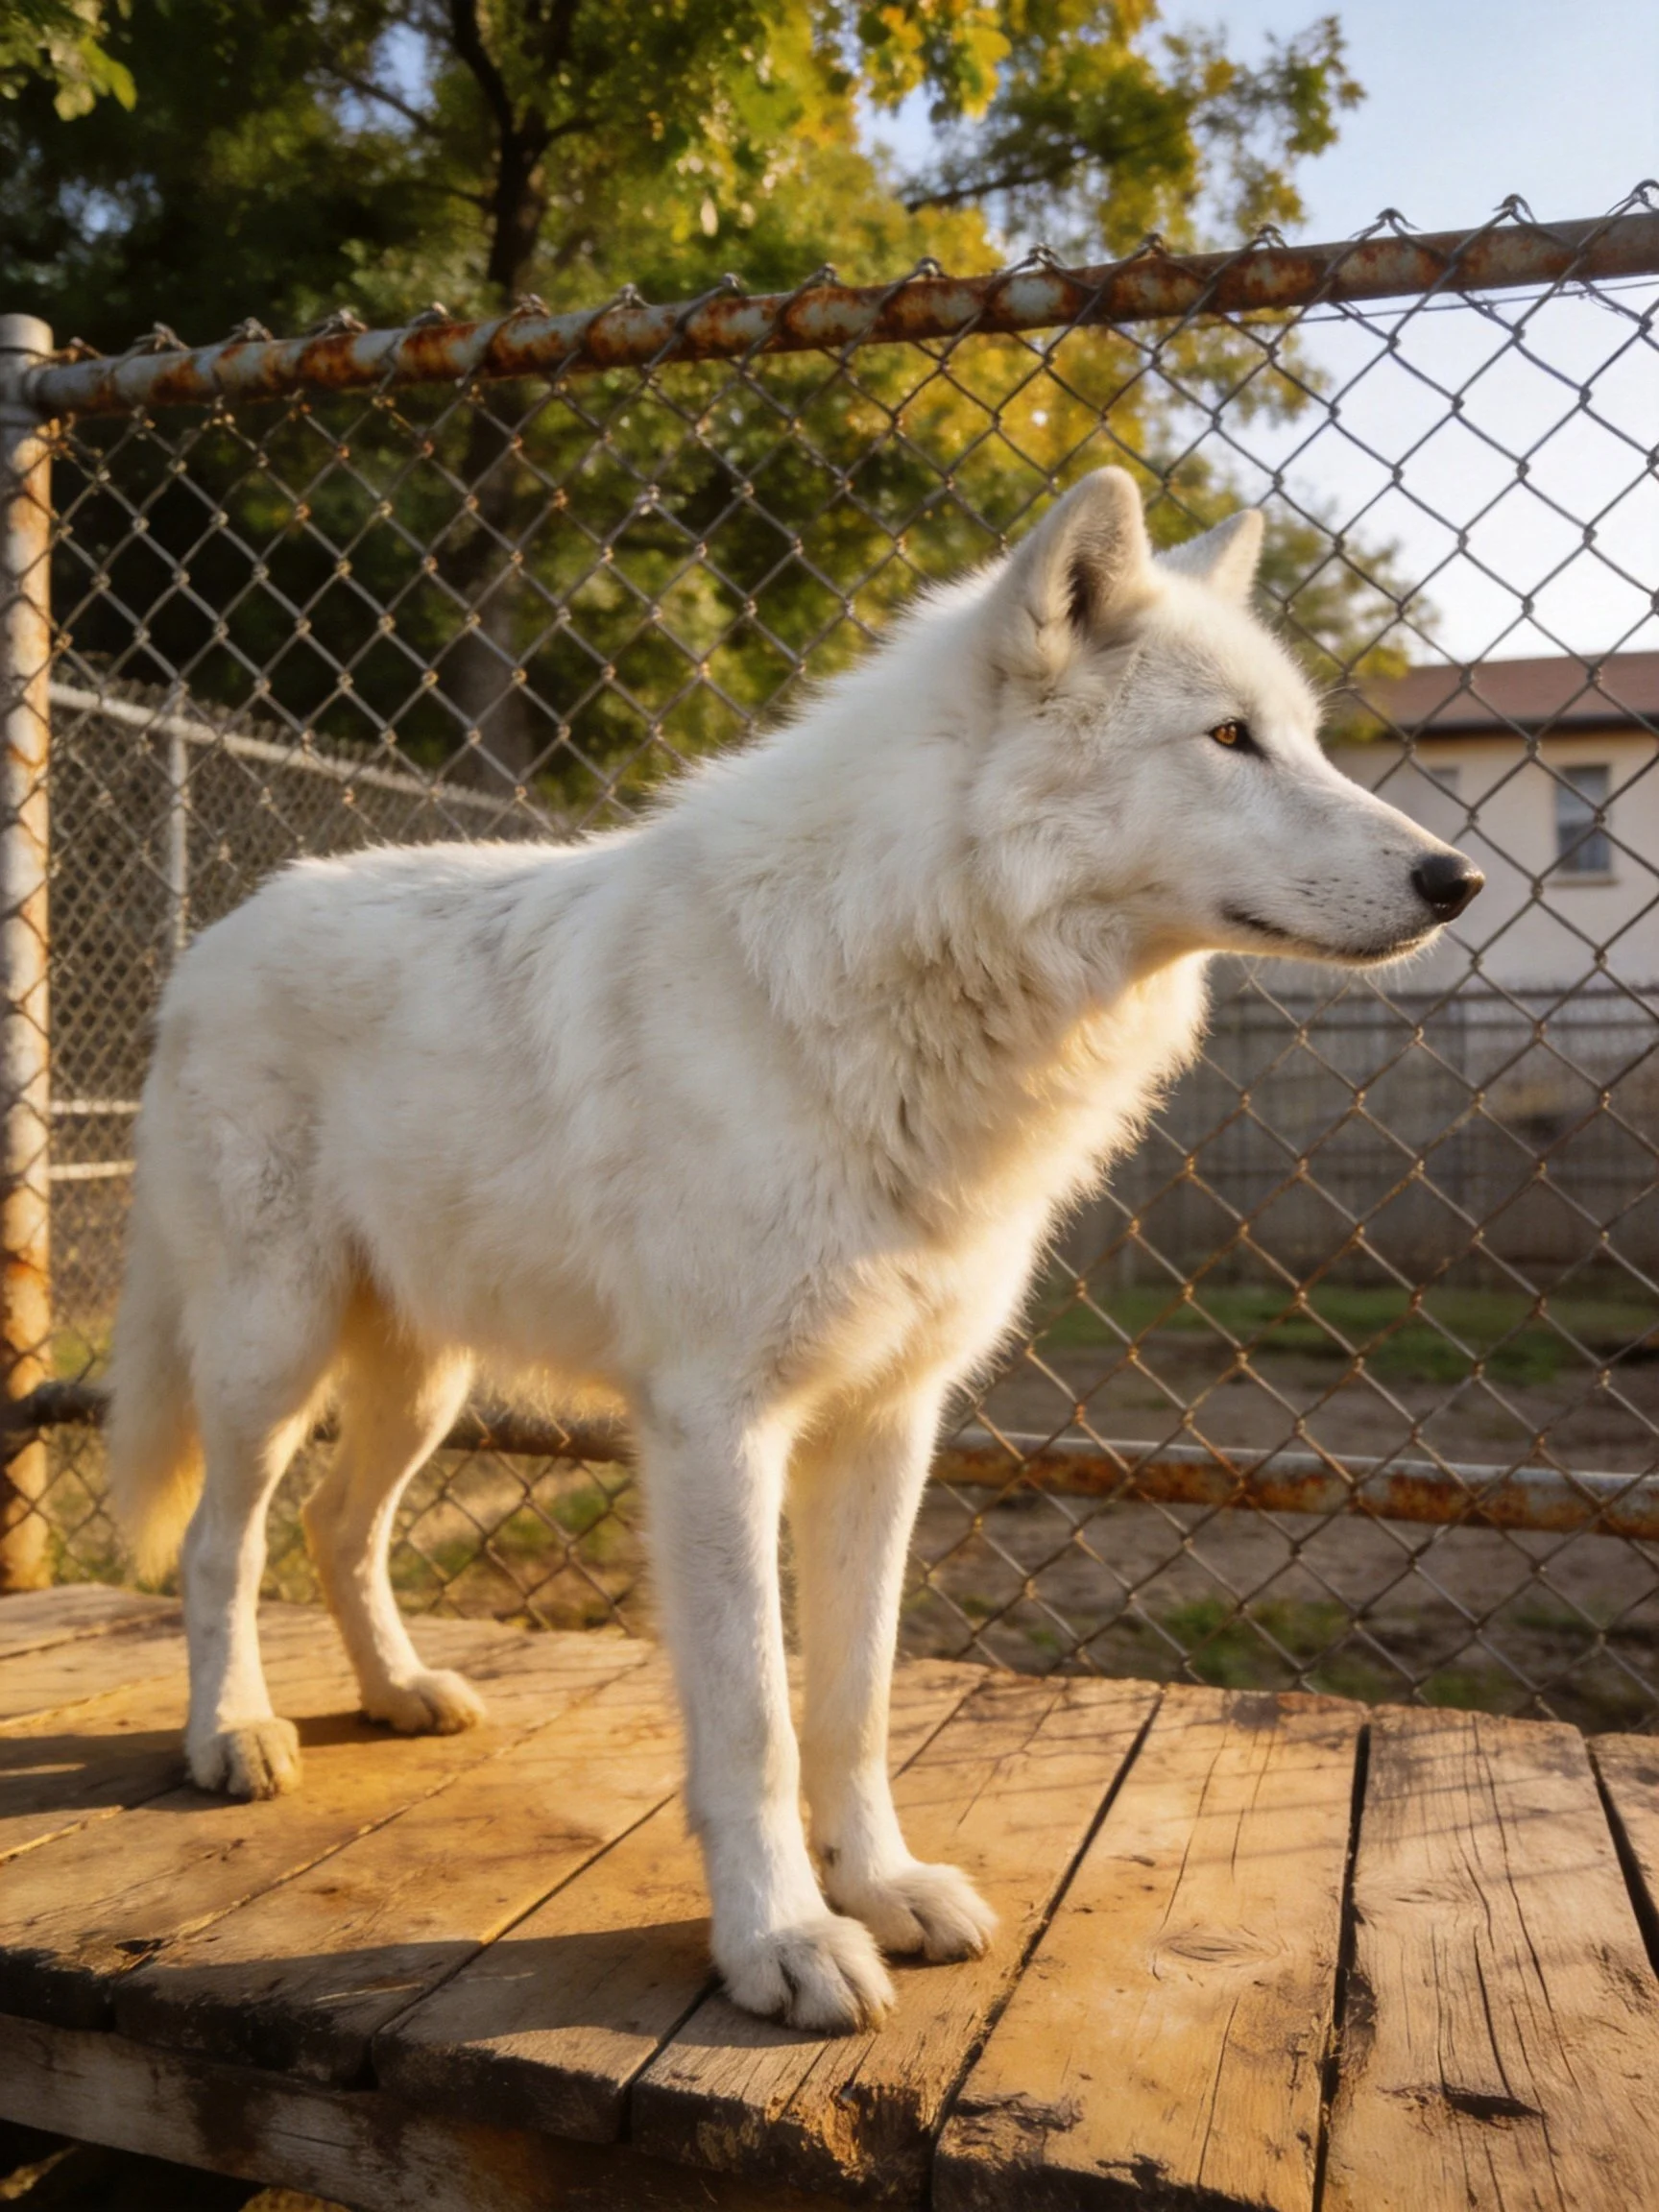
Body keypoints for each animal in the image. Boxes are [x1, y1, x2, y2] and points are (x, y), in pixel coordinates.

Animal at [106, 468, 1480, 2033]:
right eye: (1231, 739)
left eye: (1300, 737)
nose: (1457, 878)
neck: (899, 977)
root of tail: (214, 938)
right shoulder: (718, 1428)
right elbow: (756, 1721)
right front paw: (781, 1942)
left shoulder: (889, 1421)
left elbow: (855, 1699)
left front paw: (881, 1888)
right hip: (270, 1360)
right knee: (223, 1544)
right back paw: (234, 1735)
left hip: (424, 1385)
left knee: (344, 1528)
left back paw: (400, 1693)